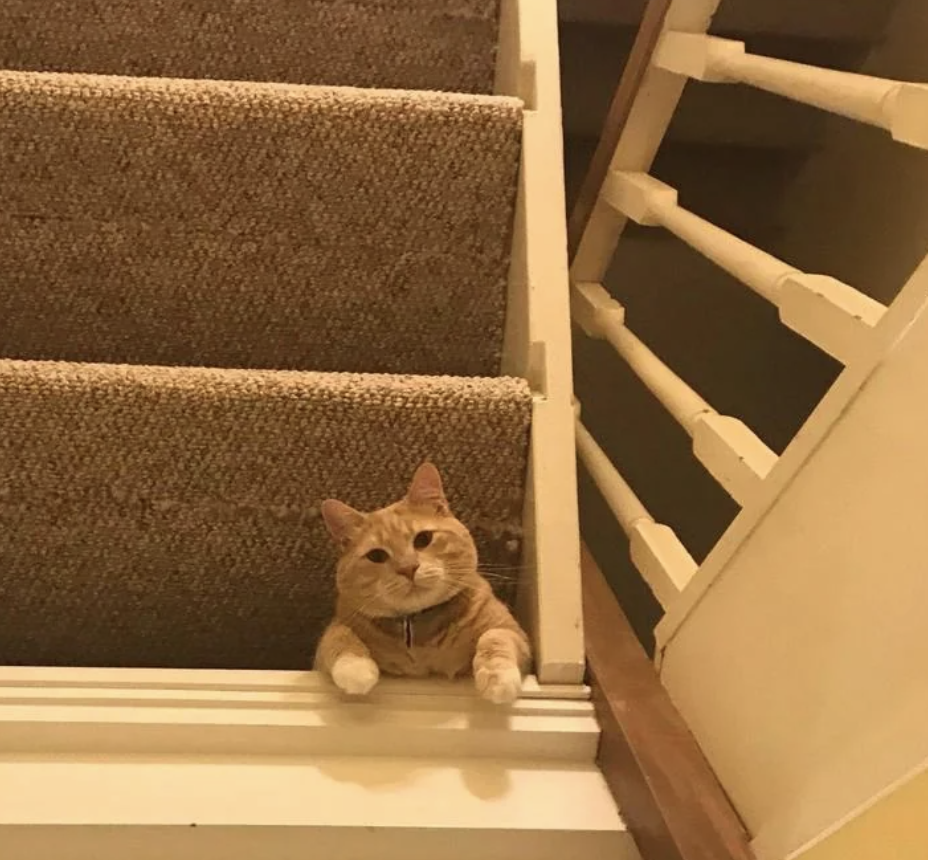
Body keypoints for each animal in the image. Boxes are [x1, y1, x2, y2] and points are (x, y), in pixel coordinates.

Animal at [316, 466, 528, 704]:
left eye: (423, 539)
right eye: (376, 555)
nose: (408, 568)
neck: (417, 637)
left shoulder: (516, 634)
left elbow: (496, 637)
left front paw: (498, 678)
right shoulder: (333, 637)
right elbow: (338, 636)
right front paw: (356, 669)